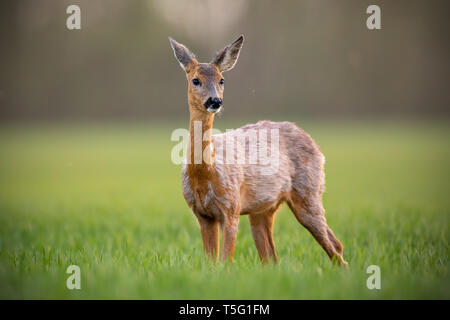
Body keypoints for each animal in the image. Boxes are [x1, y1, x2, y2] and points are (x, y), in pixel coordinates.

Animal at [169, 35, 348, 264]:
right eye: (195, 80)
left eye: (221, 80)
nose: (215, 101)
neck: (203, 174)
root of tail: (313, 143)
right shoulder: (203, 215)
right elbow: (211, 263)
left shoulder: (231, 207)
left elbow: (225, 262)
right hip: (263, 211)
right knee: (274, 258)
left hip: (309, 193)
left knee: (335, 247)